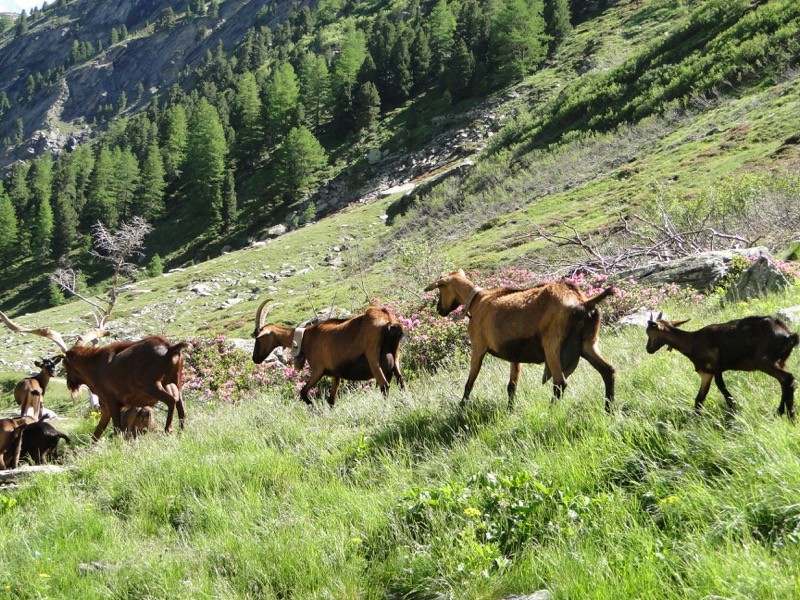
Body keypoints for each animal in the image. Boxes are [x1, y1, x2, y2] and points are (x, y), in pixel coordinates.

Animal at [252, 302, 404, 406]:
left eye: (258, 338)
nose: (255, 359)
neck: (306, 337)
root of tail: (388, 322)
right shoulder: (335, 374)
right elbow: (331, 400)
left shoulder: (318, 370)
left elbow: (303, 392)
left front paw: (314, 408)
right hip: (395, 356)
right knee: (401, 381)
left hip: (373, 358)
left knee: (384, 385)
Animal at [428, 270, 616, 410]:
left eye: (441, 289)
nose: (439, 310)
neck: (477, 302)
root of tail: (583, 303)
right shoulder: (514, 354)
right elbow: (511, 386)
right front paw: (510, 410)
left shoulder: (478, 347)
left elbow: (470, 382)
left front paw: (461, 408)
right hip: (588, 343)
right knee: (608, 370)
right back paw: (609, 410)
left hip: (552, 346)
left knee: (560, 382)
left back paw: (551, 412)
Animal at [644, 314, 800, 418]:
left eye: (649, 332)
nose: (648, 349)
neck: (692, 342)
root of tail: (789, 335)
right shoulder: (706, 373)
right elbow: (699, 399)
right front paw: (696, 420)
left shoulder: (716, 367)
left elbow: (723, 390)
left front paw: (734, 409)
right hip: (780, 361)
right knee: (786, 382)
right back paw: (781, 412)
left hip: (765, 361)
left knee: (787, 379)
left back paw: (790, 416)